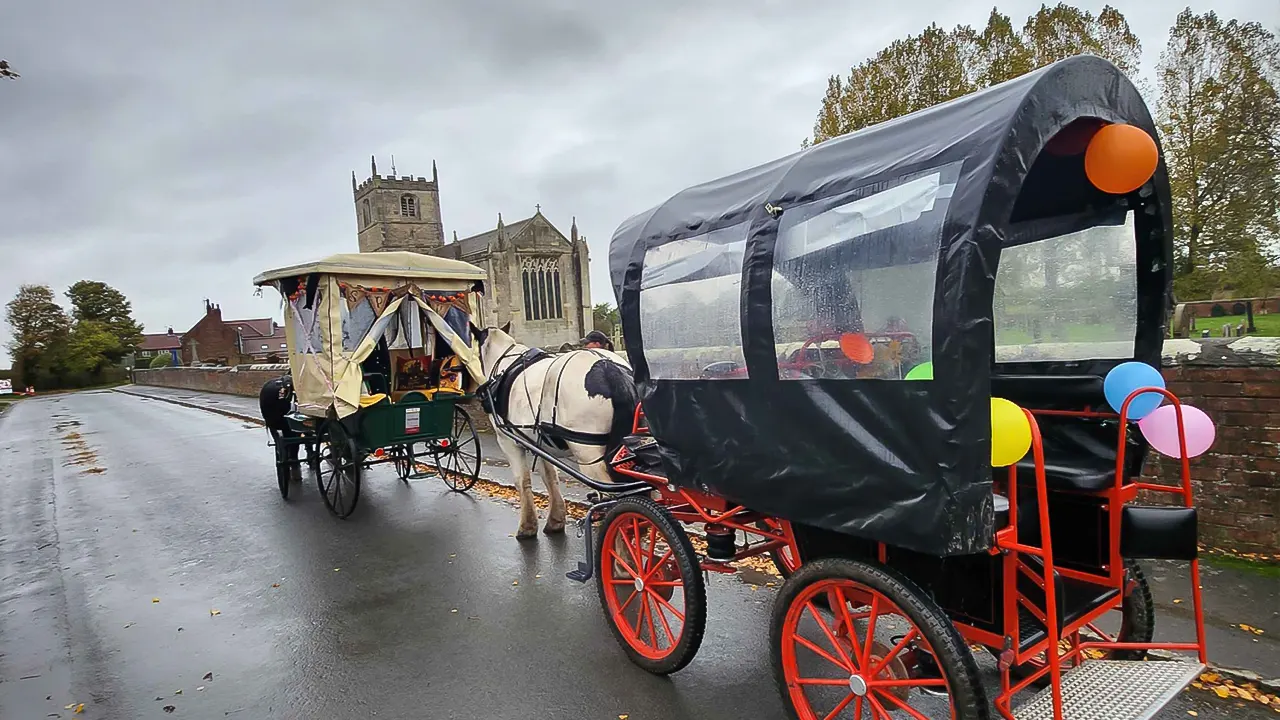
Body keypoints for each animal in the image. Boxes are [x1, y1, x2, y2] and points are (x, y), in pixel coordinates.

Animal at [476, 322, 634, 535]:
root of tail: (609, 368)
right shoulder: (541, 443)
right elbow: (550, 477)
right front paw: (556, 520)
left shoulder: (508, 441)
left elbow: (522, 480)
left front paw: (527, 527)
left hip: (589, 455)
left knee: (617, 501)